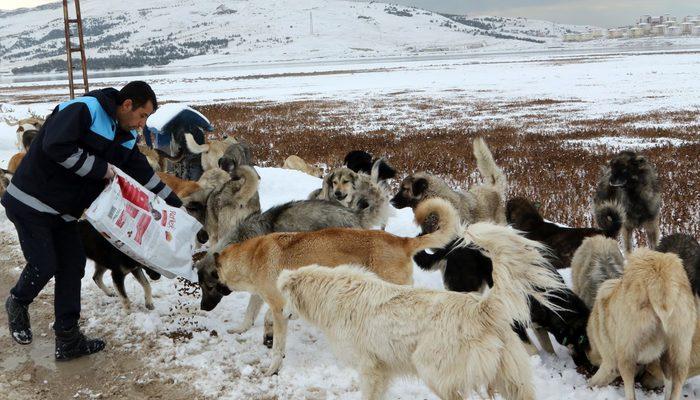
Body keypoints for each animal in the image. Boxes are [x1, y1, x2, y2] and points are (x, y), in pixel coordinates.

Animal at [197, 197, 460, 376]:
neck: (252, 255)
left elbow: (275, 344)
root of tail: (402, 241)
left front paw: (272, 368)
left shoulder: (279, 309)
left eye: (207, 286)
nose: (202, 308)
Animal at [278, 222, 564, 400]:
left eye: (285, 298)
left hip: (432, 370)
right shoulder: (382, 370)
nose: (283, 315)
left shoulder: (370, 367)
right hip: (512, 380)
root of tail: (483, 306)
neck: (333, 292)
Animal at [584, 248, 696, 398]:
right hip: (680, 351)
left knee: (630, 392)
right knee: (676, 386)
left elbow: (592, 382)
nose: (586, 353)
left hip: (626, 355)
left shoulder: (610, 363)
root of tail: (659, 276)